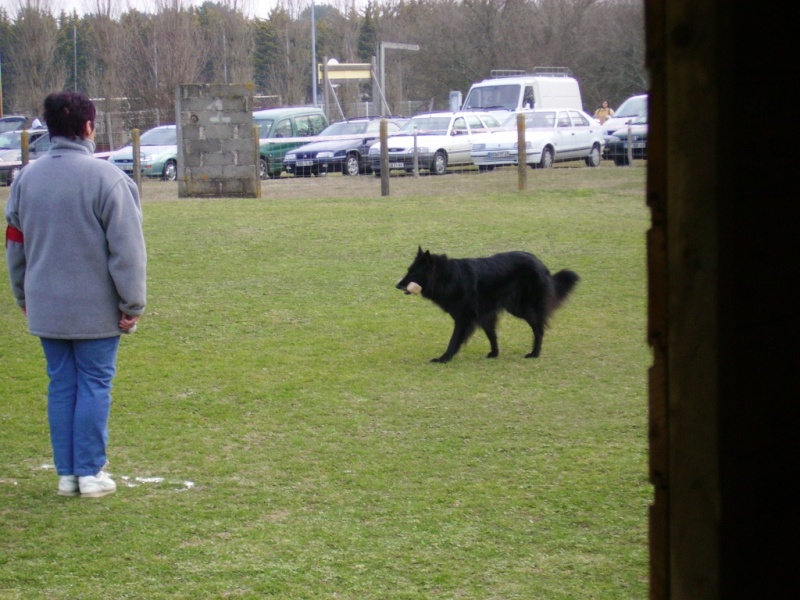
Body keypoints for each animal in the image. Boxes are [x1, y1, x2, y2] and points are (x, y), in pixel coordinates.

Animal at [396, 247, 580, 364]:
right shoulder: (485, 315)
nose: (397, 285)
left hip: (523, 308)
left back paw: (534, 353)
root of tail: (541, 264)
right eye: (408, 270)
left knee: (539, 329)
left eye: (413, 272)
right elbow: (492, 335)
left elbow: (454, 340)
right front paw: (494, 353)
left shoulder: (464, 319)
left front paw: (444, 358)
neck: (447, 277)